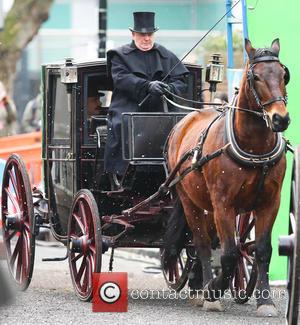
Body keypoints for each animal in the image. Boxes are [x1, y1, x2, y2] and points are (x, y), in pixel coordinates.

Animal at [164, 39, 290, 316]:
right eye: (255, 76)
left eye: (283, 74)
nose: (281, 118)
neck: (254, 148)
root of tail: (185, 120)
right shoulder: (224, 204)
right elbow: (229, 253)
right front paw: (214, 291)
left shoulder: (270, 202)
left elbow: (262, 250)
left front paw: (265, 300)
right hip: (190, 201)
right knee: (201, 243)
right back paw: (205, 289)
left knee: (206, 243)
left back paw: (198, 283)